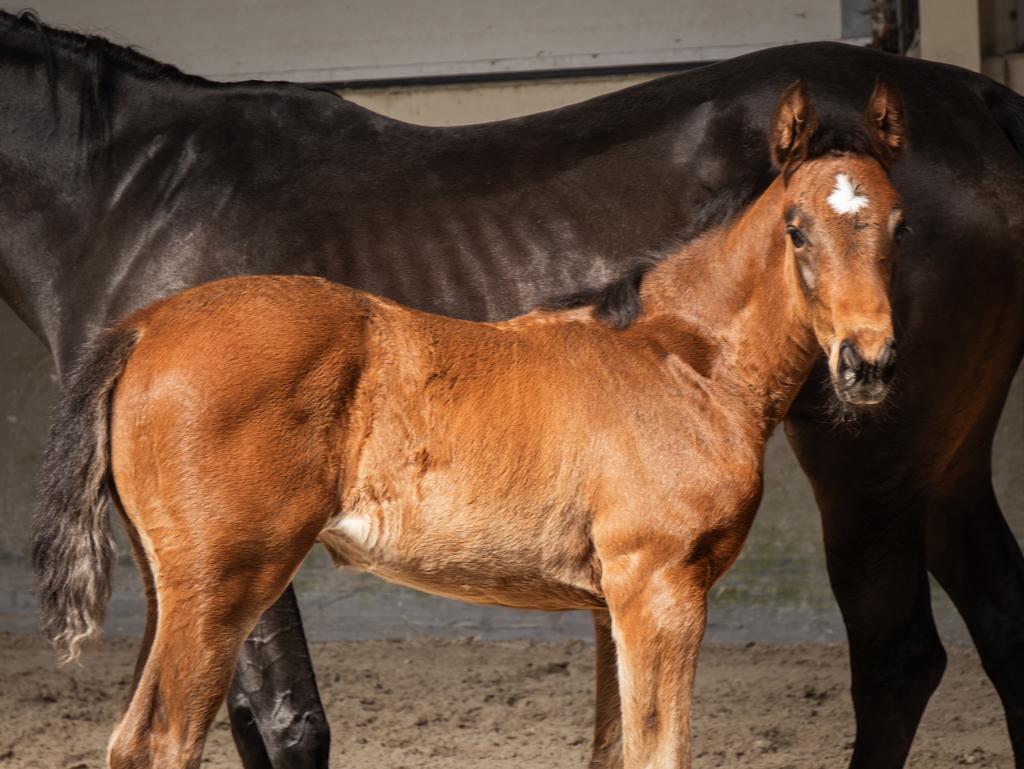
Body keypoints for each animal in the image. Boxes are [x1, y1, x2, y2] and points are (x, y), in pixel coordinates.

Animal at [2, 10, 1022, 768]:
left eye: (900, 224)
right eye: (798, 229)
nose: (868, 362)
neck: (680, 359)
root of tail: (149, 324)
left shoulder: (623, 597)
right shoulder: (656, 589)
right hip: (217, 579)